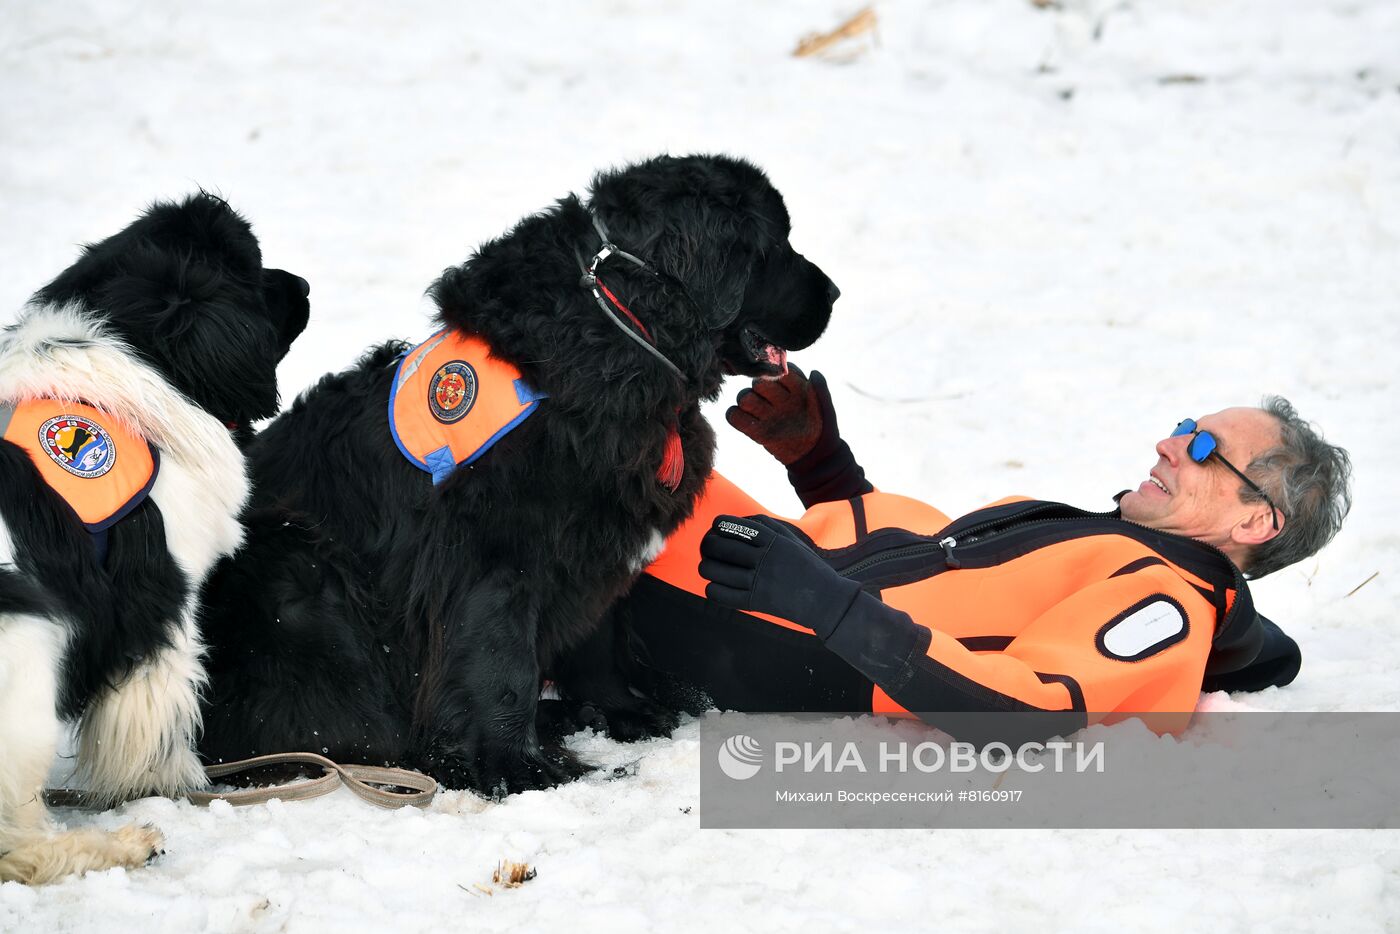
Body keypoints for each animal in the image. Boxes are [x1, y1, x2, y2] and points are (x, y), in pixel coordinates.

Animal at [0, 191, 309, 884]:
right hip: (30, 660)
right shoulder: (161, 599)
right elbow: (160, 709)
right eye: (254, 272)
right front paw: (170, 787)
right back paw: (118, 845)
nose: (303, 284)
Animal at [201, 153, 834, 795]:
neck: (620, 329)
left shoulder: (595, 541)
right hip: (297, 564)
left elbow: (597, 641)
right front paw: (517, 766)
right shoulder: (495, 556)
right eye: (775, 245)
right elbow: (501, 665)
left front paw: (619, 711)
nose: (834, 292)